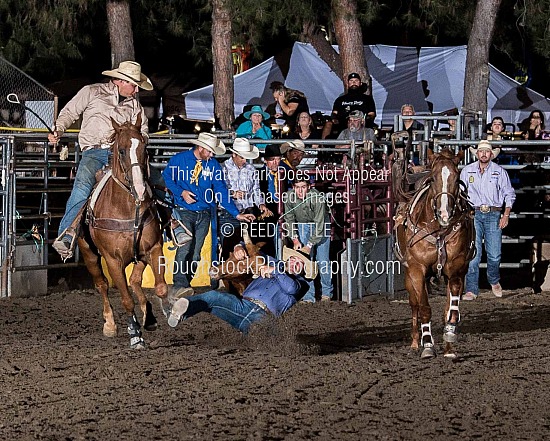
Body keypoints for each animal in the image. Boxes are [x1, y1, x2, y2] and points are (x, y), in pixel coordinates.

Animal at [76, 115, 169, 348]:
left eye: (144, 147)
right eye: (121, 150)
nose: (141, 189)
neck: (127, 207)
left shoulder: (153, 248)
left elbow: (160, 287)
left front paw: (165, 313)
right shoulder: (112, 260)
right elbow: (126, 299)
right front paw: (135, 334)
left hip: (138, 255)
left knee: (135, 281)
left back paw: (149, 316)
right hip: (89, 254)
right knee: (102, 285)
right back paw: (110, 324)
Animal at [394, 148, 476, 358]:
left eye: (457, 178)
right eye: (432, 178)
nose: (444, 213)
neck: (438, 229)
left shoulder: (456, 269)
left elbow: (451, 309)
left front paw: (449, 339)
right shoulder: (417, 270)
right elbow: (424, 308)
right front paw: (428, 345)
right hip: (409, 276)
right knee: (414, 304)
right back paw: (416, 342)